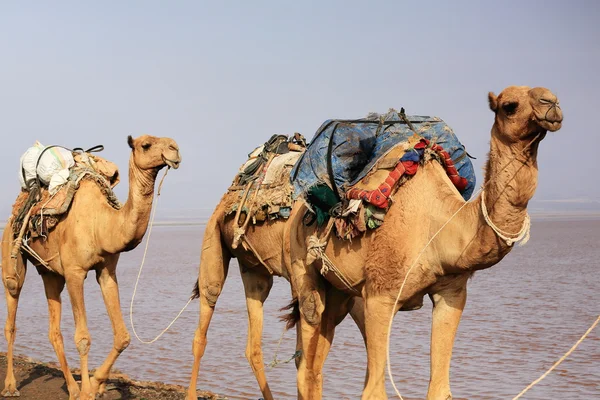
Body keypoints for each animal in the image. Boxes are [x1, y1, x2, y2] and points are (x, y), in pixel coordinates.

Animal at [0, 135, 180, 400]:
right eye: (145, 145)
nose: (175, 150)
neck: (102, 225)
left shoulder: (106, 271)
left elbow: (123, 336)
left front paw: (95, 384)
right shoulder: (75, 273)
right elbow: (83, 338)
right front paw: (88, 391)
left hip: (50, 272)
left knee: (54, 330)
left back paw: (72, 388)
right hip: (12, 253)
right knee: (11, 312)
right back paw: (11, 386)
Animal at [286, 86, 564, 400]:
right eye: (510, 105)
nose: (551, 103)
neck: (441, 226)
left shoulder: (452, 292)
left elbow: (440, 388)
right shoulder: (381, 294)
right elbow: (374, 391)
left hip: (340, 291)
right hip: (302, 267)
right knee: (307, 351)